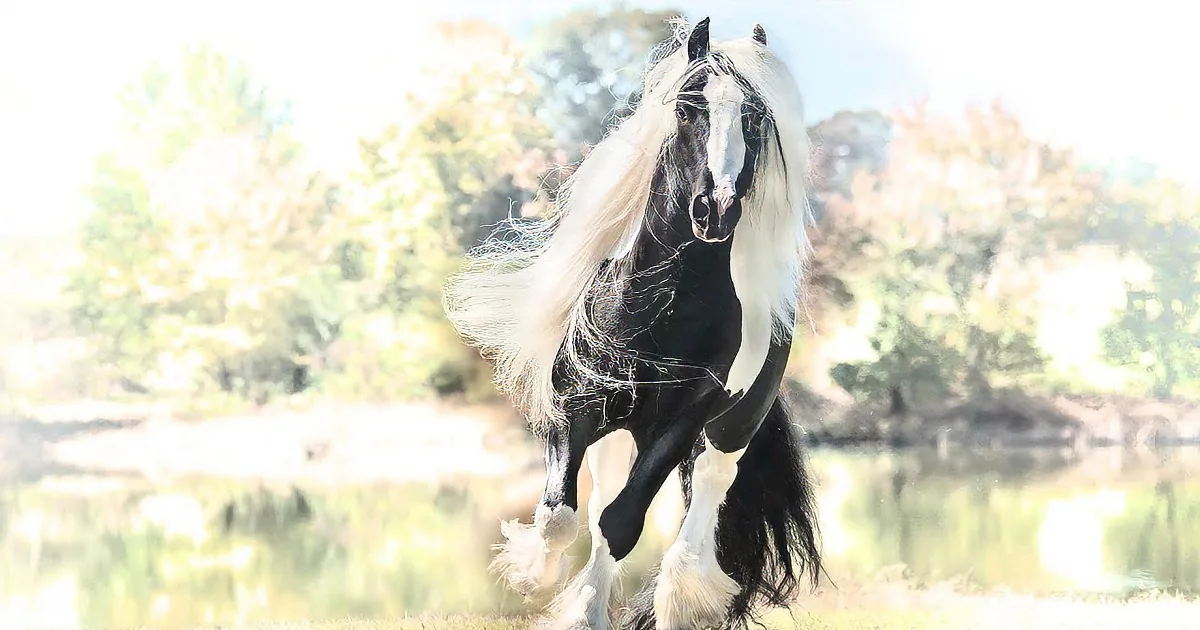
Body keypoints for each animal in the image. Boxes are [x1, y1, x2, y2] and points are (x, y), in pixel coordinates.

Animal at [443, 17, 822, 629]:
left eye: (754, 120)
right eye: (689, 107)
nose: (716, 211)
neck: (661, 305)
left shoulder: (681, 423)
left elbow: (621, 525)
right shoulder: (574, 409)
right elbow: (560, 518)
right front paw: (533, 577)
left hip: (729, 428)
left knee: (701, 506)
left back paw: (681, 599)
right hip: (617, 432)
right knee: (602, 502)